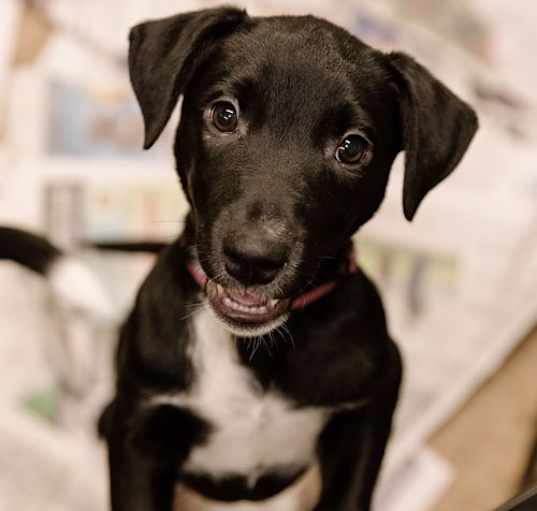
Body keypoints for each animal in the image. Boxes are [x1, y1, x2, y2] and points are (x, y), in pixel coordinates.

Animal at [98, 5, 476, 511]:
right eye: (224, 115)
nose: (253, 259)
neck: (257, 351)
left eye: (352, 147)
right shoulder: (141, 429)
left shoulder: (372, 406)